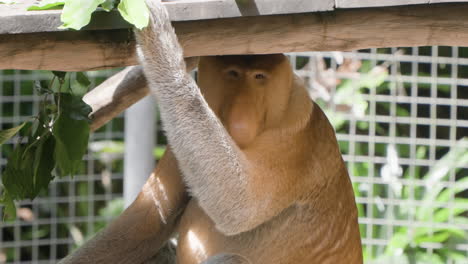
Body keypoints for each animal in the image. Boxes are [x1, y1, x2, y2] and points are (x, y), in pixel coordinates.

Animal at [59, 0, 362, 262]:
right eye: (233, 73)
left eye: (259, 77)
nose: (241, 119)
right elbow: (149, 219)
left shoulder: (297, 139)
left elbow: (240, 204)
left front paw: (159, 43)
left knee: (232, 257)